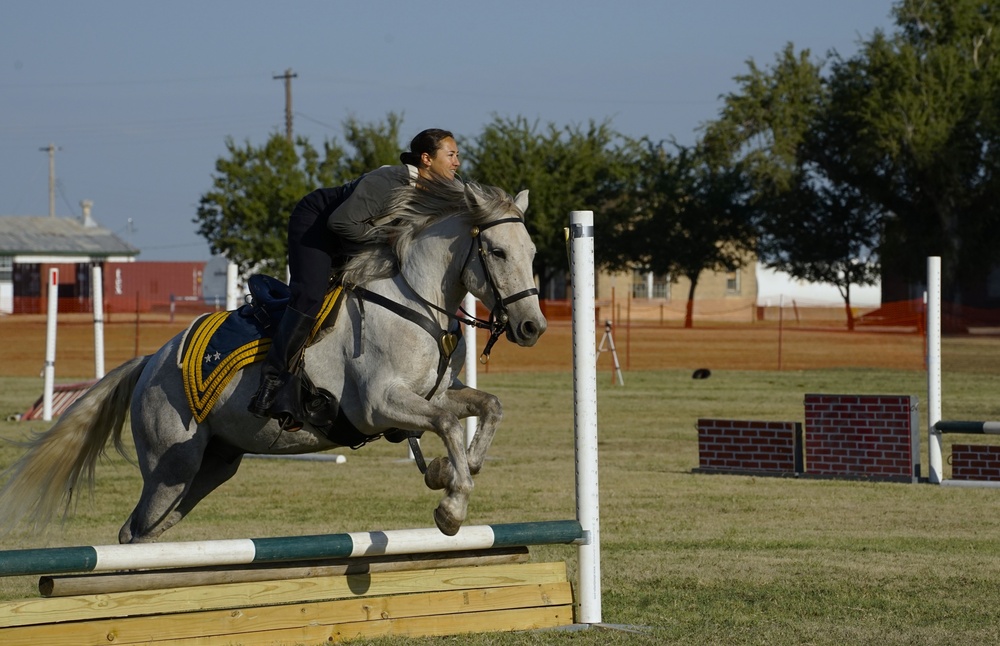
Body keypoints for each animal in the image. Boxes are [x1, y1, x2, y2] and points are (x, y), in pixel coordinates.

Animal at [0, 180, 548, 544]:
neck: (415, 301)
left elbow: (488, 406)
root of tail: (152, 360)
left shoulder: (433, 394)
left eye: (533, 251)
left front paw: (453, 469)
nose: (531, 327)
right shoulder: (380, 406)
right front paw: (451, 504)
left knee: (149, 529)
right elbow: (450, 424)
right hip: (171, 465)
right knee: (134, 531)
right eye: (497, 251)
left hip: (210, 468)